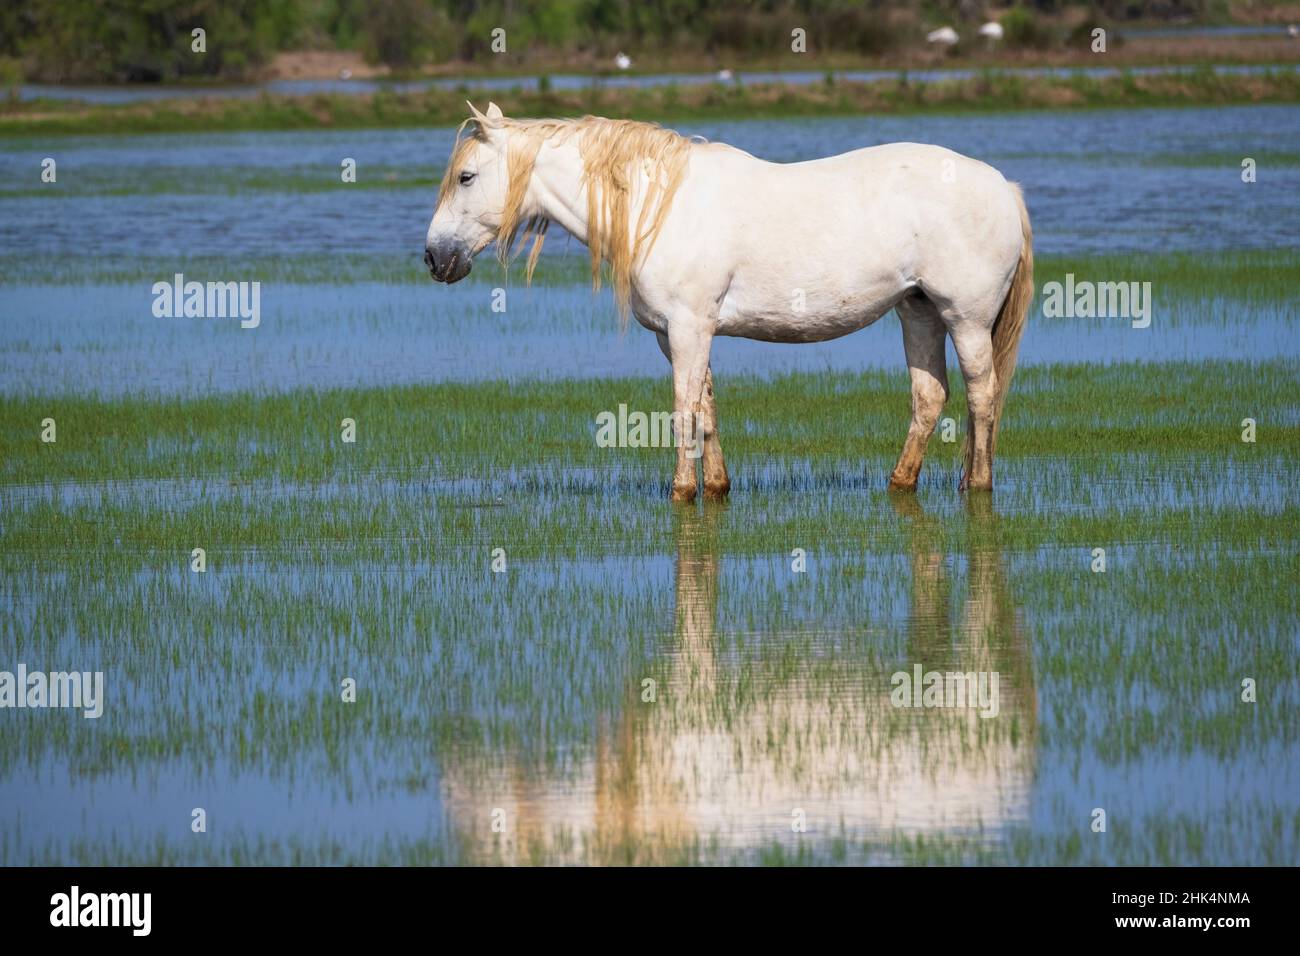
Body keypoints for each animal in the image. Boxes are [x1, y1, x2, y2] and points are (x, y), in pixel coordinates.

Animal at [426, 104, 1034, 504]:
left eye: (466, 176)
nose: (435, 257)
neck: (657, 203)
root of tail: (1005, 187)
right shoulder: (678, 334)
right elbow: (707, 408)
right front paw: (716, 486)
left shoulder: (687, 327)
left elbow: (683, 410)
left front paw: (681, 491)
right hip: (918, 311)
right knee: (930, 398)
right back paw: (901, 482)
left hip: (965, 318)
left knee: (983, 396)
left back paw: (978, 486)